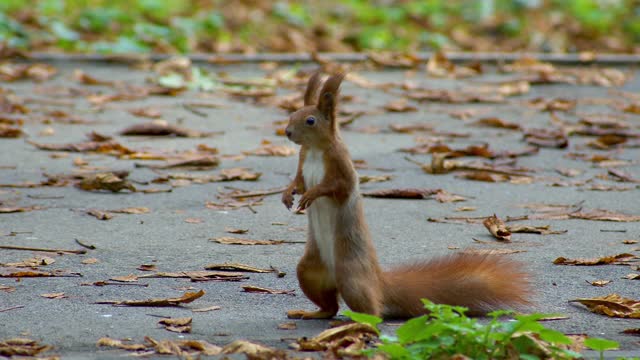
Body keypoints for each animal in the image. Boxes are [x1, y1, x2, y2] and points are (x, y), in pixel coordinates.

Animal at [282, 72, 532, 318]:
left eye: (310, 120)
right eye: (292, 114)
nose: (287, 132)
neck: (315, 150)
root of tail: (378, 280)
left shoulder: (341, 165)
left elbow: (336, 187)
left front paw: (312, 194)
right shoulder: (303, 160)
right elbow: (299, 182)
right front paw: (288, 194)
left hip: (351, 276)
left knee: (372, 312)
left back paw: (358, 323)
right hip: (310, 272)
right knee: (330, 306)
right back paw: (314, 313)